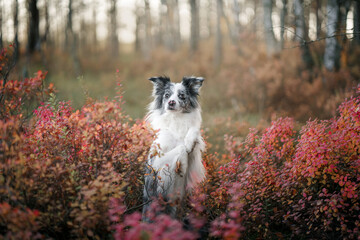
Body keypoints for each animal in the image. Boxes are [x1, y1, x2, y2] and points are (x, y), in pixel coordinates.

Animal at [143, 75, 205, 219]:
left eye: (181, 95)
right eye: (167, 95)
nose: (171, 102)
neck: (176, 119)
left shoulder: (194, 157)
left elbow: (193, 131)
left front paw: (189, 141)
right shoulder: (157, 162)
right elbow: (181, 149)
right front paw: (181, 165)